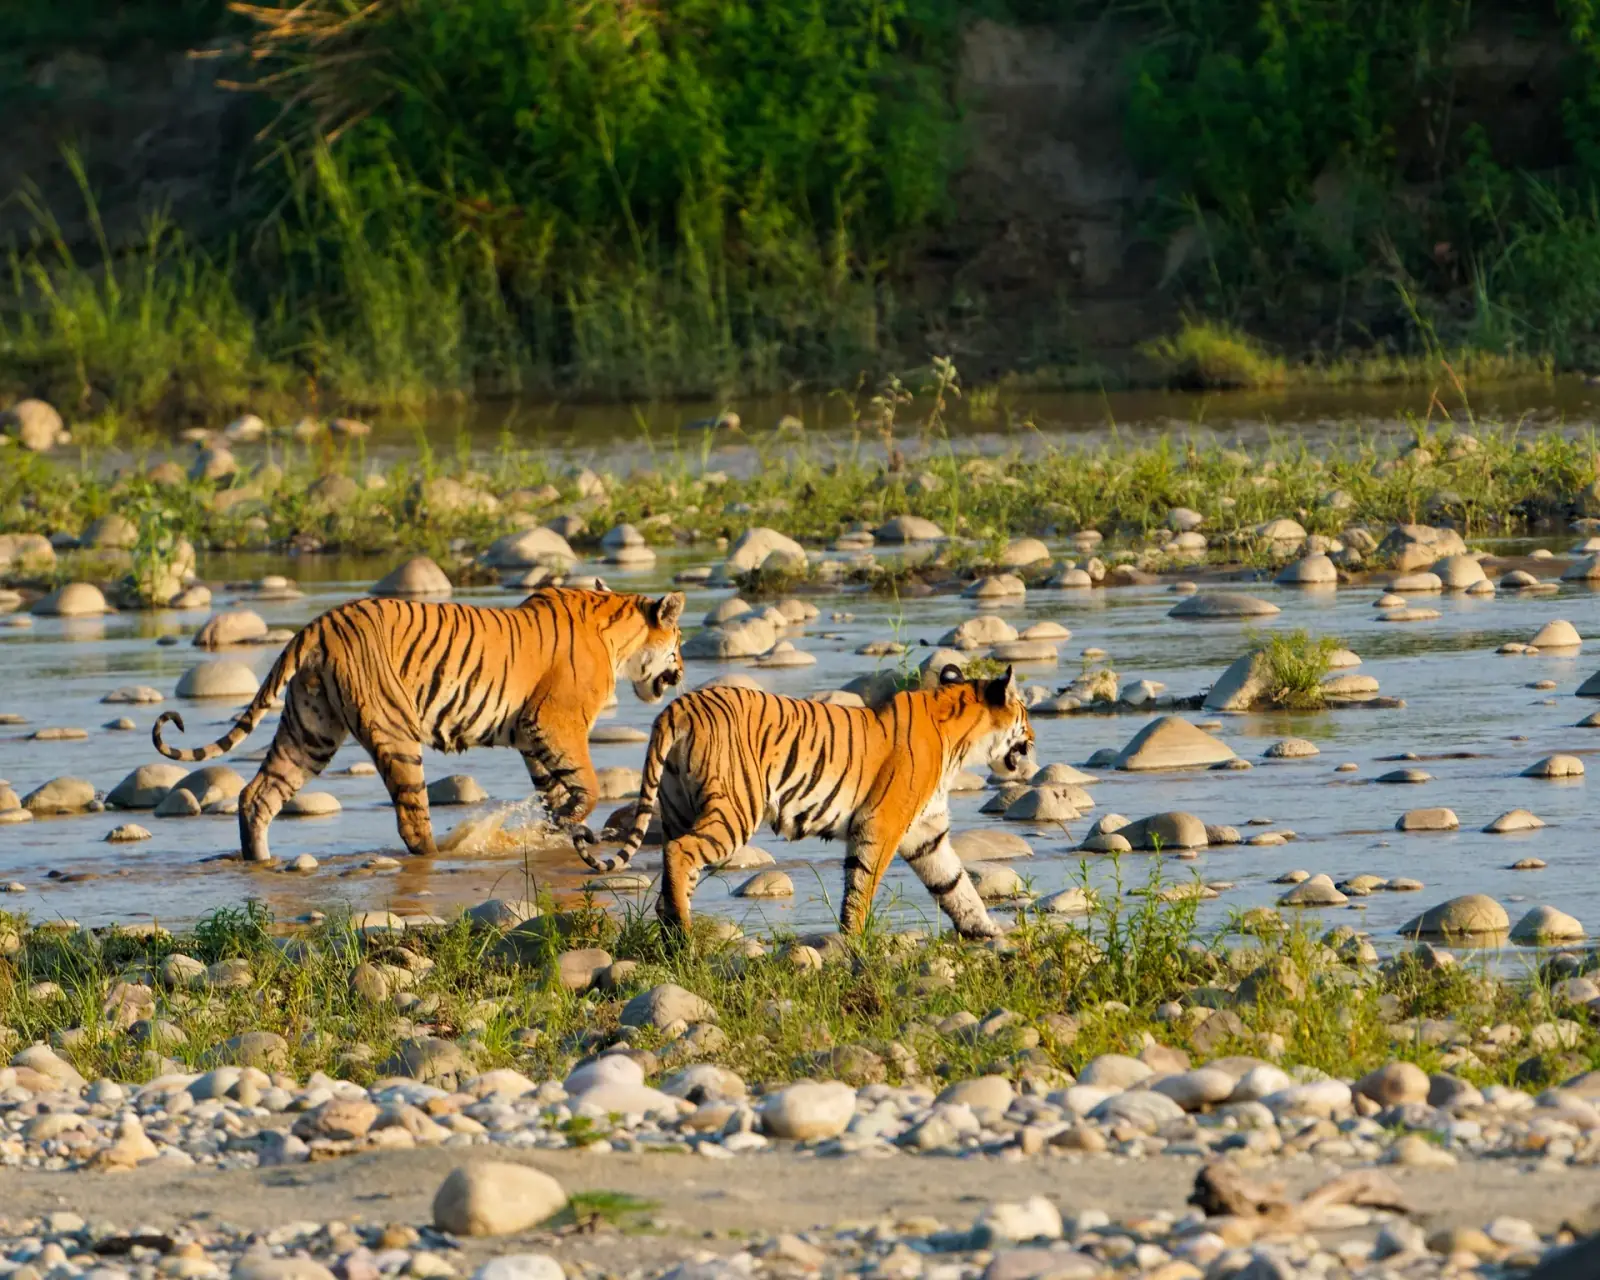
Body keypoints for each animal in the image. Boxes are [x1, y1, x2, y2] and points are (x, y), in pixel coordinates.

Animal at [152, 588, 685, 863]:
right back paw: (437, 854)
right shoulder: (555, 723)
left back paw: (260, 863)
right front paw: (575, 823)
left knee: (257, 795)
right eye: (679, 640)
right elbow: (588, 783)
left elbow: (556, 791)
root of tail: (318, 625)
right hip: (395, 732)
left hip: (309, 731)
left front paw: (558, 829)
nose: (680, 673)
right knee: (411, 820)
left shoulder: (533, 740)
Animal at [583, 664, 1035, 940]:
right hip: (735, 809)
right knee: (680, 853)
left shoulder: (926, 833)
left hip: (679, 808)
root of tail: (679, 705)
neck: (959, 739)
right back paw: (684, 936)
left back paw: (673, 934)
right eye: (1025, 715)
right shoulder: (880, 825)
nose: (1033, 739)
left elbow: (956, 885)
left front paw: (986, 932)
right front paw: (853, 939)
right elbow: (862, 884)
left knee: (671, 871)